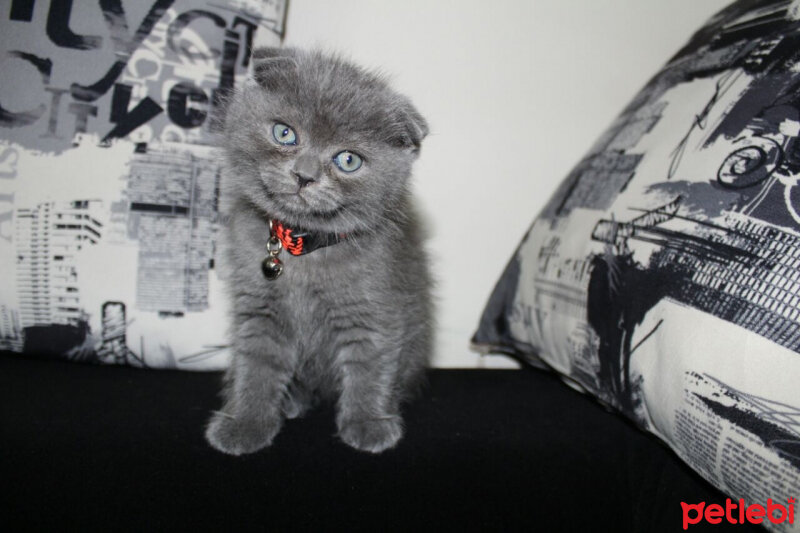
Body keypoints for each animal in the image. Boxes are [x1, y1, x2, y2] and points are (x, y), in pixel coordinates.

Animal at [205, 48, 432, 454]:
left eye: (348, 160)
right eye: (284, 133)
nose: (304, 176)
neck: (303, 249)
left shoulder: (375, 307)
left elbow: (370, 364)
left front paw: (368, 424)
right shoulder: (258, 307)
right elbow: (255, 364)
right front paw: (244, 423)